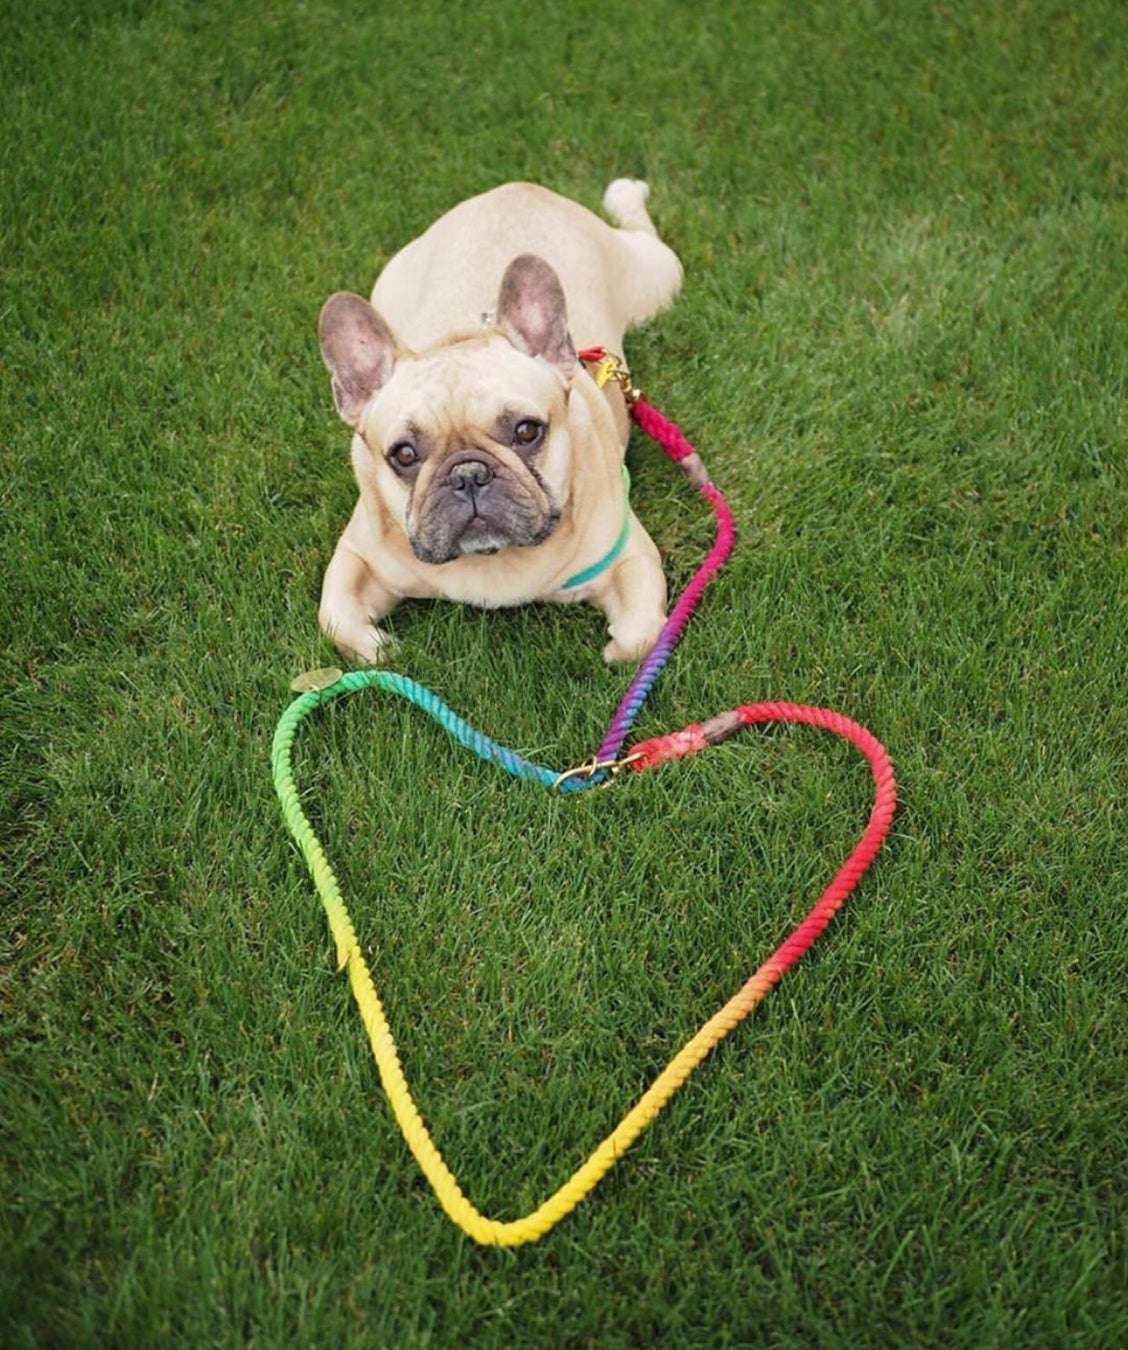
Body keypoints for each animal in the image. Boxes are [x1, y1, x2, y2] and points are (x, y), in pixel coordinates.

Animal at [317, 179, 683, 663]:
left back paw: (626, 193)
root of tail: (518, 189)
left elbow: (640, 635)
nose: (468, 474)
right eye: (404, 455)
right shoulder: (359, 555)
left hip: (655, 280)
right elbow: (334, 617)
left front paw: (616, 648)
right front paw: (379, 650)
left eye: (527, 431)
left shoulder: (629, 555)